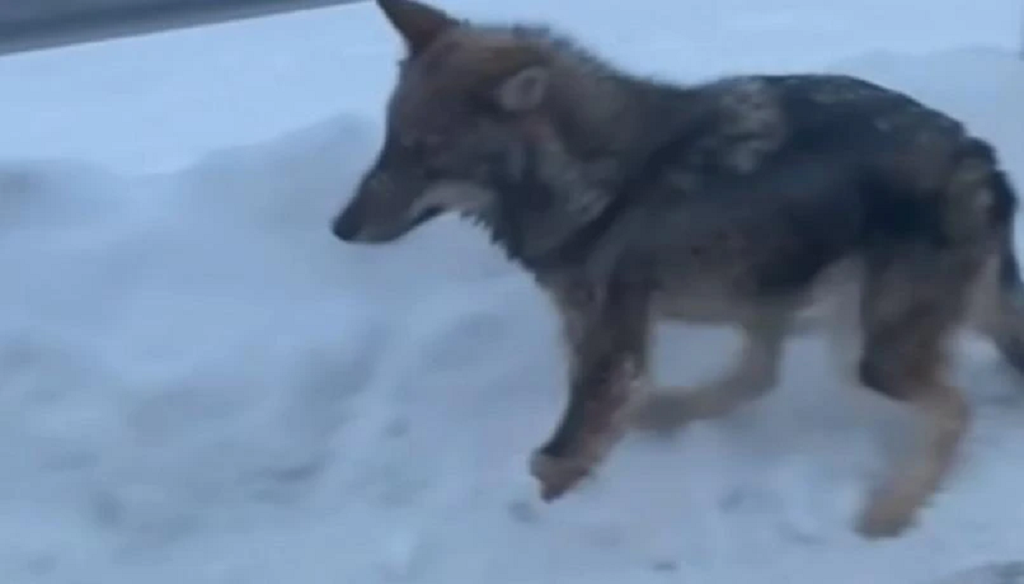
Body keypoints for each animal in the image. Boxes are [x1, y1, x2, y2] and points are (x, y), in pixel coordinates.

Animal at [331, 0, 1024, 538]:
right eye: (389, 144)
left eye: (425, 154)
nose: (340, 227)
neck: (598, 183)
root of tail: (981, 157)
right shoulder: (607, 328)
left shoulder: (613, 344)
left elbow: (564, 450)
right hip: (802, 297)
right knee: (759, 376)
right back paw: (670, 412)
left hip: (869, 350)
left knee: (954, 409)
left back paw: (891, 512)